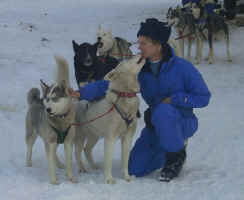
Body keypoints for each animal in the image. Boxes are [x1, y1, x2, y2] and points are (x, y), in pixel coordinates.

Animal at [25, 55, 76, 184]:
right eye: (47, 99)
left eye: (55, 98)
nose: (47, 109)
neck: (60, 120)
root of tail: (36, 100)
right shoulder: (50, 142)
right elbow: (50, 164)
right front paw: (53, 180)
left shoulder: (68, 142)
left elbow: (69, 163)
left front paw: (71, 177)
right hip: (32, 134)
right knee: (29, 147)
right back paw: (28, 163)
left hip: (54, 141)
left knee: (54, 153)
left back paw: (59, 164)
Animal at [74, 54, 146, 184]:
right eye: (128, 59)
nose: (138, 53)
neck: (125, 95)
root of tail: (78, 102)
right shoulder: (110, 138)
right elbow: (108, 162)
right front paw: (109, 179)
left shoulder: (127, 138)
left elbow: (125, 161)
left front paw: (126, 177)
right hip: (81, 135)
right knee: (77, 151)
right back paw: (82, 168)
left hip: (94, 135)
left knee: (87, 149)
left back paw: (94, 166)